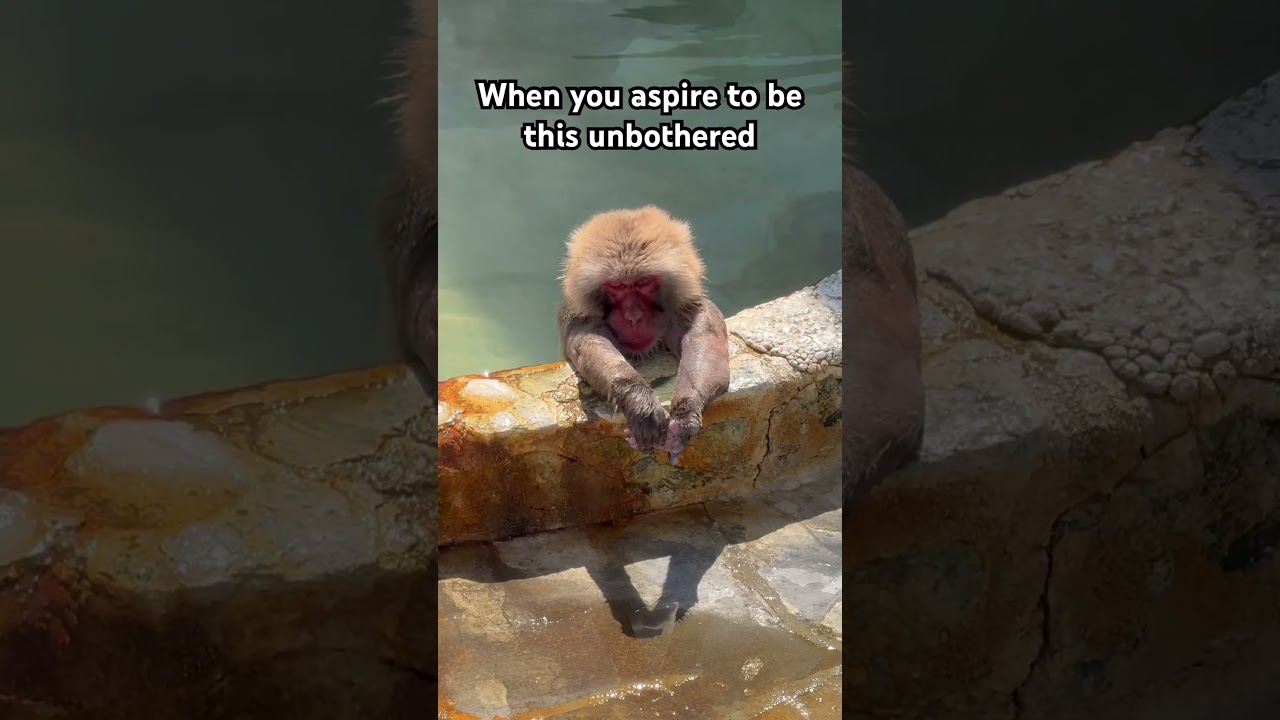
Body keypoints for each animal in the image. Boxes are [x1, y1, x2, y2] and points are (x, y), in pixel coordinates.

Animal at [558, 206, 731, 465]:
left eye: (643, 283)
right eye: (617, 287)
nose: (633, 317)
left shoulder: (690, 306)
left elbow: (705, 338)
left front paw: (685, 415)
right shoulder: (580, 316)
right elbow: (589, 343)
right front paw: (639, 403)